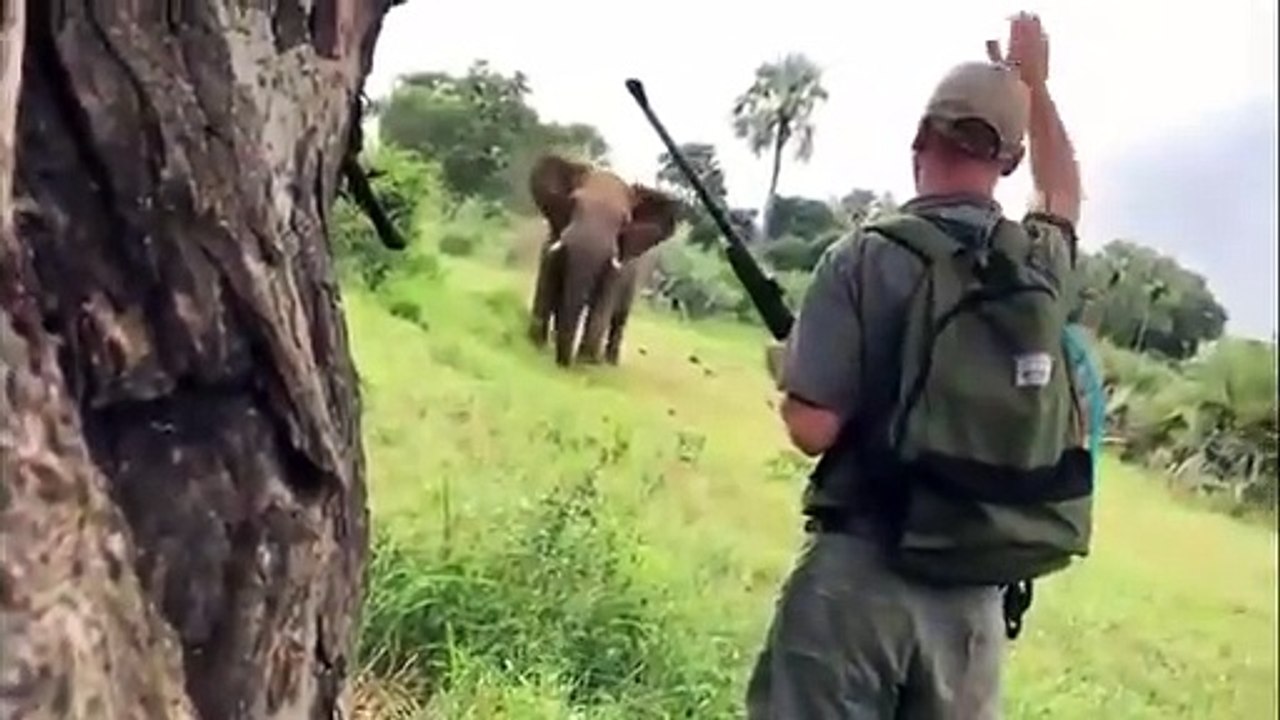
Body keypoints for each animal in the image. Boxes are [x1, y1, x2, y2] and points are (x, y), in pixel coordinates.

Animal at [526, 154, 680, 367]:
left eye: (624, 221)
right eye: (573, 203)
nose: (562, 363)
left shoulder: (618, 267)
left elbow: (602, 303)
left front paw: (586, 362)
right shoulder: (553, 239)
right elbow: (547, 286)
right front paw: (535, 344)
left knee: (619, 319)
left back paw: (608, 362)